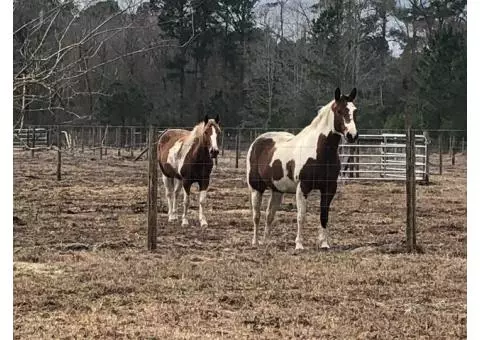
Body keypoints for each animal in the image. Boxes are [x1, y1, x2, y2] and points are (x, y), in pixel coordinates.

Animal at [248, 87, 356, 252]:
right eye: (339, 111)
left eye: (354, 110)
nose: (352, 135)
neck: (319, 152)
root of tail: (258, 141)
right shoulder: (303, 187)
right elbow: (301, 216)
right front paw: (299, 244)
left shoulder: (329, 188)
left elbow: (324, 215)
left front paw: (324, 243)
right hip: (256, 188)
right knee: (256, 215)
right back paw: (255, 242)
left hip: (277, 190)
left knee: (269, 215)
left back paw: (266, 241)